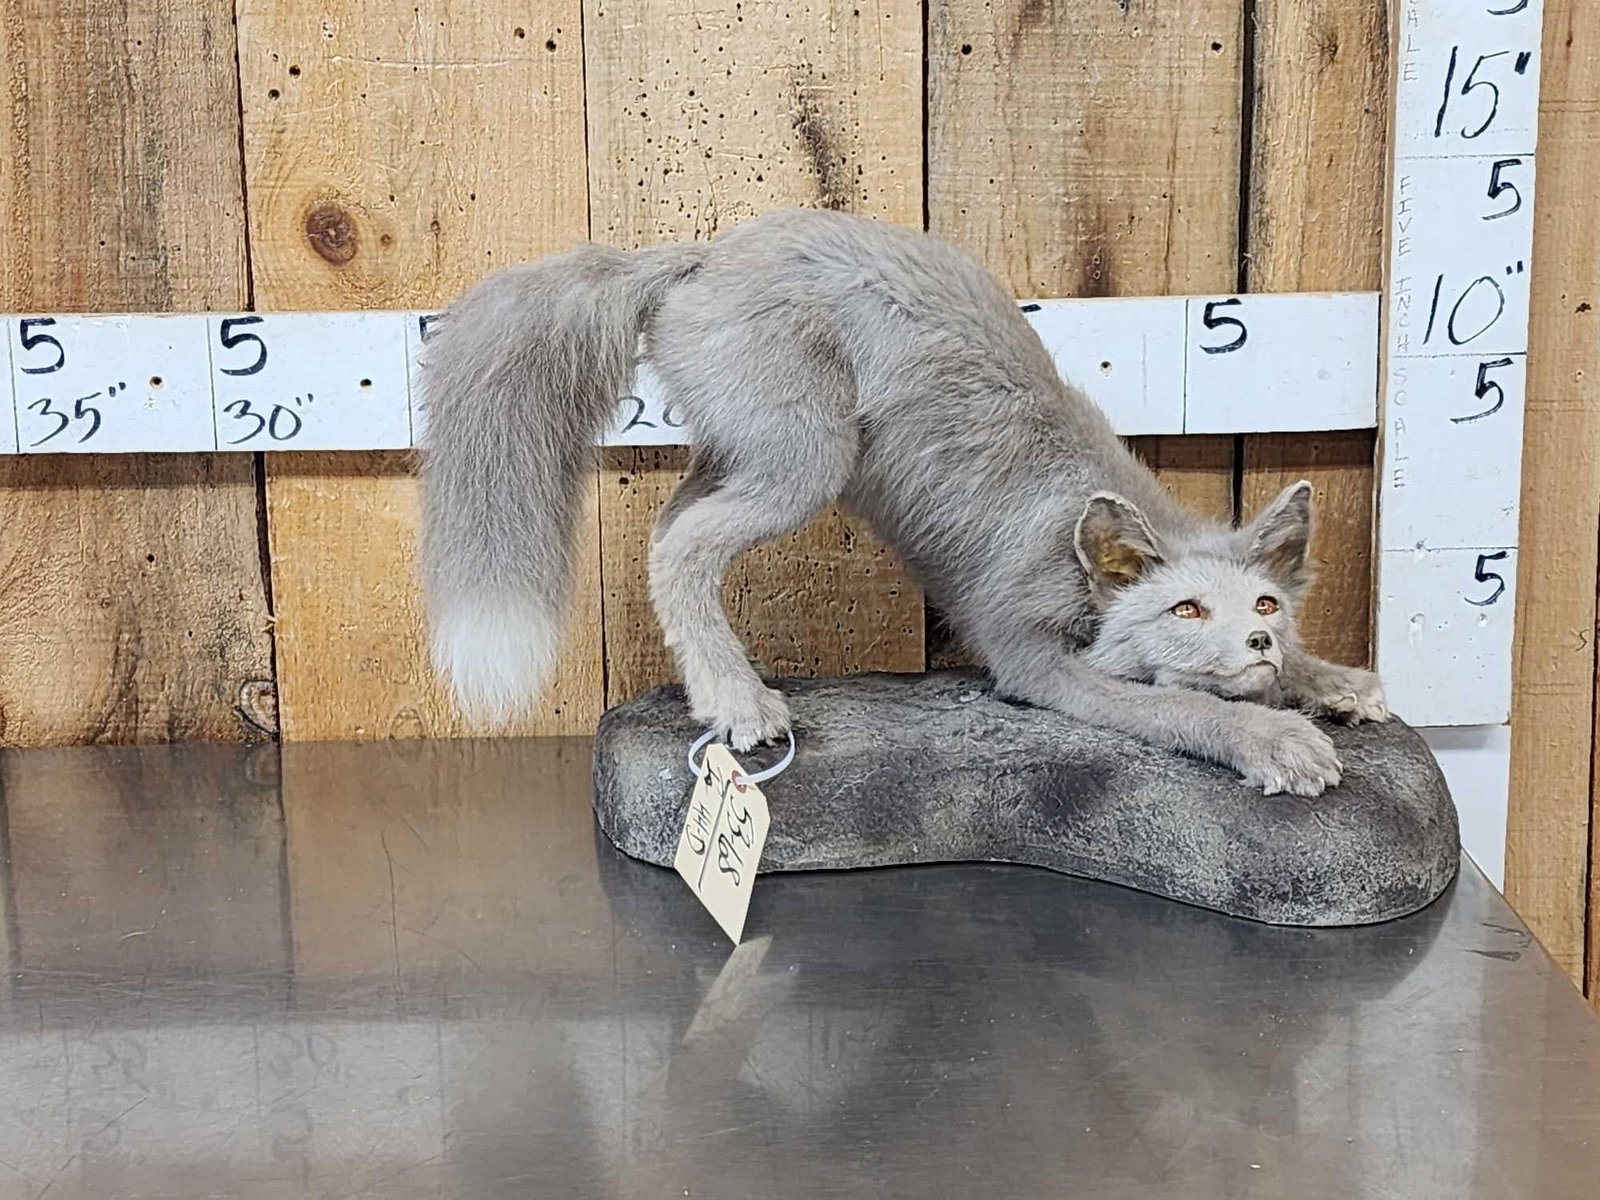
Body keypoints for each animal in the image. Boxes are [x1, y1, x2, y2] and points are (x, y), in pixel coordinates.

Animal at [418, 208, 1388, 798]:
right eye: (1187, 610)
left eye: (1265, 605)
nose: (1260, 642)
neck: (1069, 537)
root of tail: (704, 254)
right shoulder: (1031, 662)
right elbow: (1185, 709)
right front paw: (1277, 740)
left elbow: (1295, 678)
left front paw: (1333, 682)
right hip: (808, 460)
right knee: (684, 545)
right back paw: (737, 700)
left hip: (749, 451)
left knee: (668, 531)